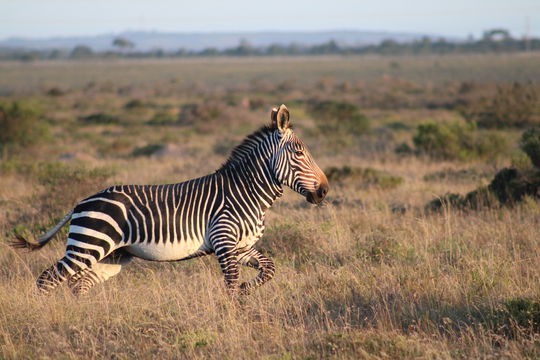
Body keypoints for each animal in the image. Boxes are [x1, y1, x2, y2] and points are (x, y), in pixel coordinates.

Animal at [12, 104, 332, 296]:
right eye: (300, 153)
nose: (325, 191)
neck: (245, 193)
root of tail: (81, 203)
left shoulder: (241, 247)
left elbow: (269, 269)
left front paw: (246, 290)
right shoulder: (224, 244)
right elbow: (230, 286)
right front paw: (235, 317)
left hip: (112, 255)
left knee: (79, 284)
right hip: (87, 247)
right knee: (48, 279)